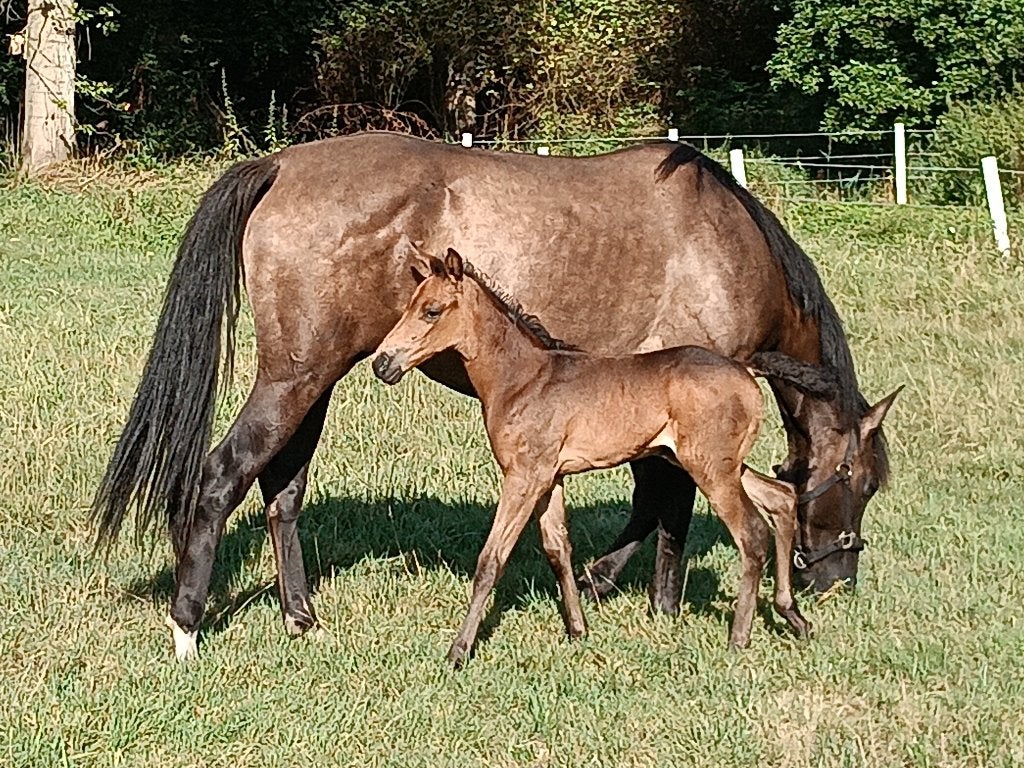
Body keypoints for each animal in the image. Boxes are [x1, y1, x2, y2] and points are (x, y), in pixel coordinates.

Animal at [372, 247, 837, 663]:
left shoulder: (522, 477)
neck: (521, 379)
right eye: (410, 304)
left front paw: (458, 651)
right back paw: (793, 616)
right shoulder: (550, 478)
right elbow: (558, 549)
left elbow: (492, 559)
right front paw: (578, 631)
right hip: (719, 463)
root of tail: (745, 369)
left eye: (432, 311)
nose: (382, 363)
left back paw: (740, 637)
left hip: (711, 469)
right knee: (782, 497)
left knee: (753, 534)